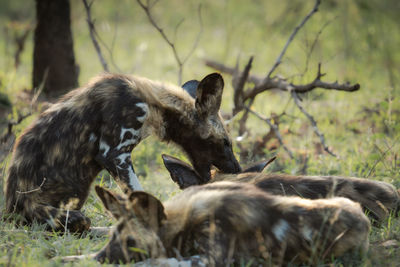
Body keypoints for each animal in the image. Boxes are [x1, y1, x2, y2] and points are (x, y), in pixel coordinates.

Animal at [3, 73, 241, 232]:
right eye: (226, 143)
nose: (238, 169)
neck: (155, 105)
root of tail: (10, 210)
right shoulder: (114, 155)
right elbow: (139, 193)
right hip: (67, 215)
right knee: (83, 224)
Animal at [61, 185, 370, 266]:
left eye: (130, 242)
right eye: (112, 239)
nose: (100, 258)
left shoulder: (205, 260)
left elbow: (149, 263)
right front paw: (71, 258)